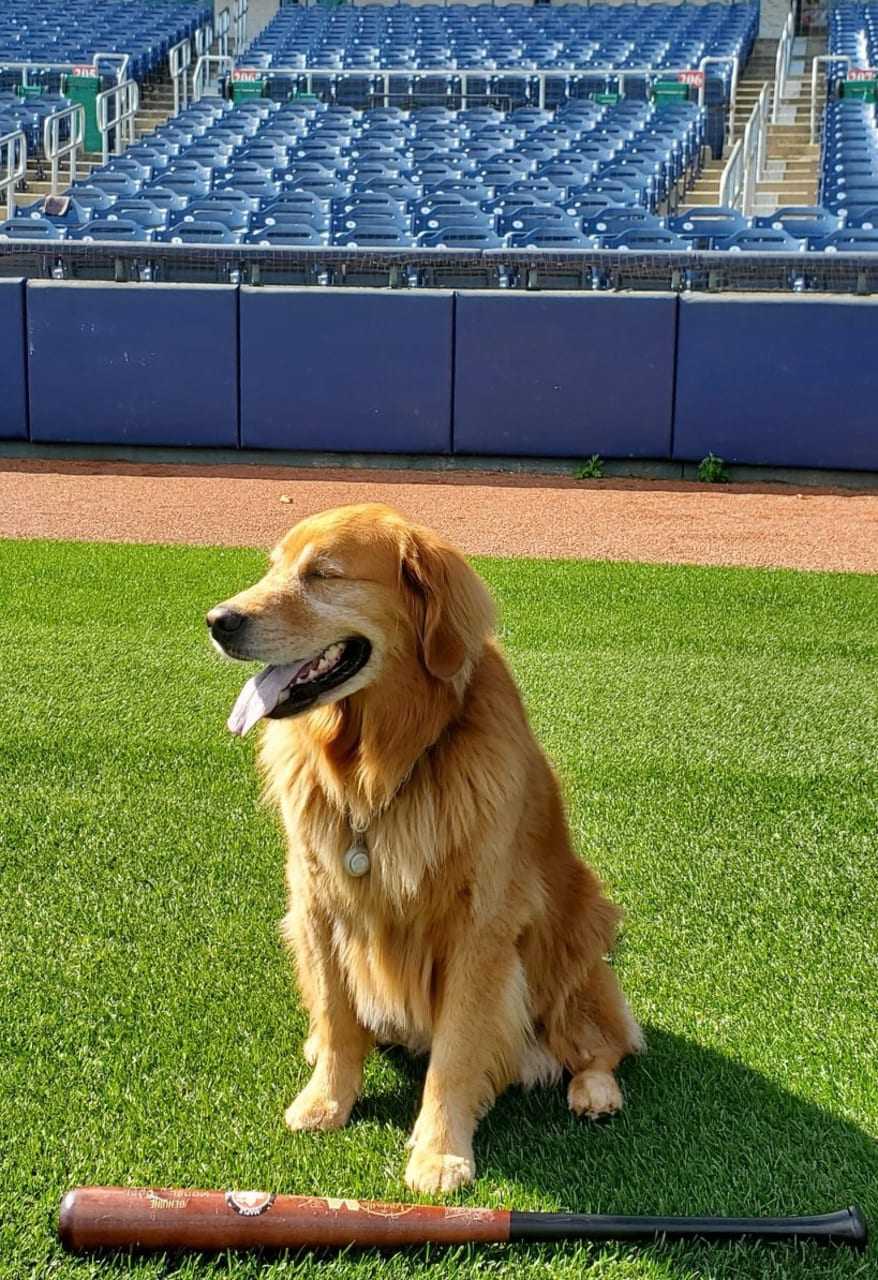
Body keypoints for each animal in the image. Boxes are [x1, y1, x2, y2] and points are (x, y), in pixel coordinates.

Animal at [209, 504, 642, 1192]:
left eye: (323, 574)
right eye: (273, 567)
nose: (218, 621)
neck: (381, 766)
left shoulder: (481, 928)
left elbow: (457, 1053)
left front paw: (440, 1154)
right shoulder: (316, 901)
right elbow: (337, 1017)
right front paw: (326, 1100)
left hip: (582, 932)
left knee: (601, 1041)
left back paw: (594, 1091)